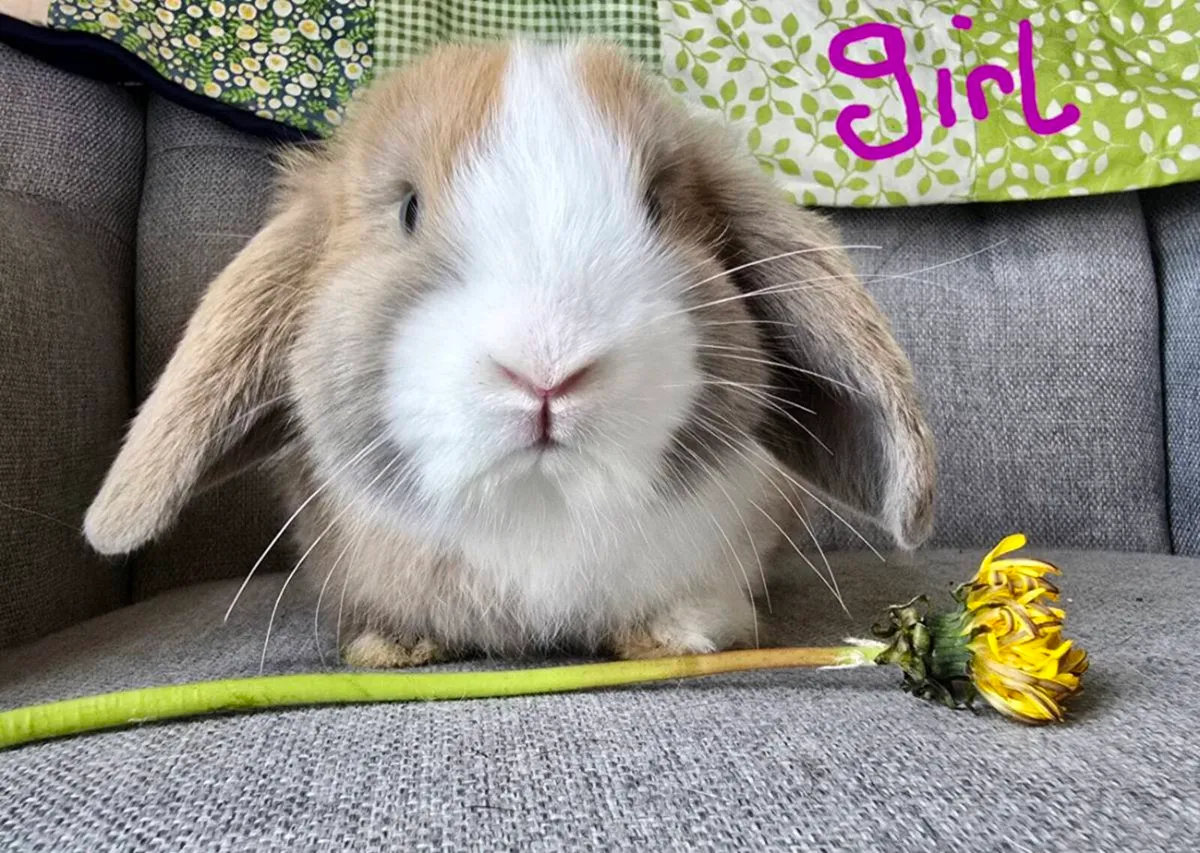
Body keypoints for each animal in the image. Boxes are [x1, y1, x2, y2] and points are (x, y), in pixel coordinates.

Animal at [82, 41, 935, 667]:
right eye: (408, 209)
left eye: (657, 206)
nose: (547, 369)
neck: (540, 510)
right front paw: (387, 647)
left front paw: (672, 635)